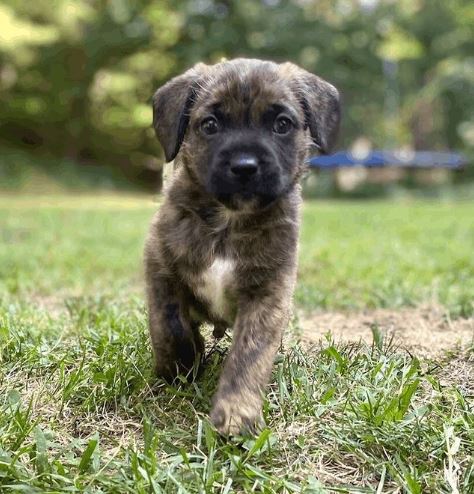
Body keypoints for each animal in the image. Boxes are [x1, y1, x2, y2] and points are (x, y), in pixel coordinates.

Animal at [144, 58, 340, 436]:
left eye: (282, 124)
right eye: (210, 124)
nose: (245, 166)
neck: (229, 220)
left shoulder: (268, 294)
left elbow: (249, 356)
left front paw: (237, 414)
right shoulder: (159, 264)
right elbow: (170, 324)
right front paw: (180, 367)